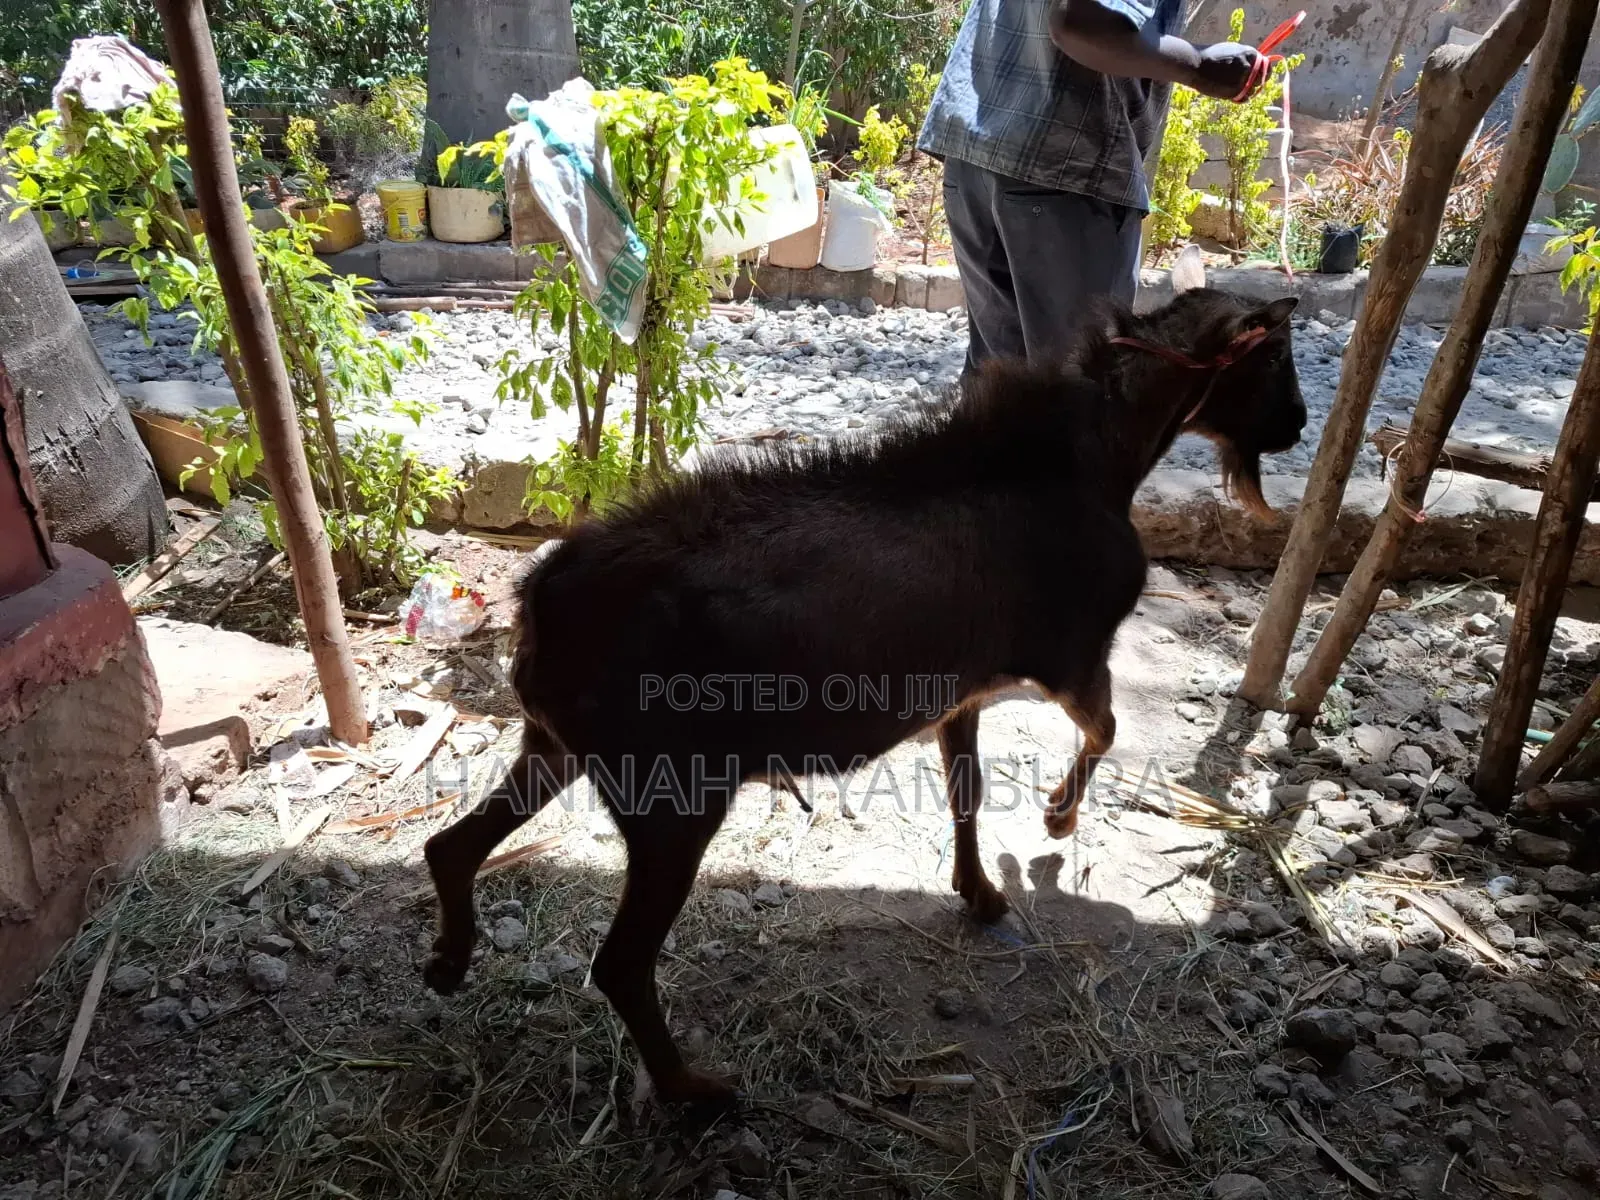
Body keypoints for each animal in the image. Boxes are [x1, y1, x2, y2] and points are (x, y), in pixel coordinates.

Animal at [422, 277, 1306, 1108]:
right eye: (1270, 356)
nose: (1297, 425)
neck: (1095, 459)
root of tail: (538, 606)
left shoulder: (961, 690)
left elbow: (966, 788)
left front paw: (981, 891)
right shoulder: (1072, 655)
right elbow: (1108, 730)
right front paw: (1055, 822)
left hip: (557, 747)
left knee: (450, 847)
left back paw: (449, 960)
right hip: (671, 797)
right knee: (619, 963)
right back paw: (691, 1090)